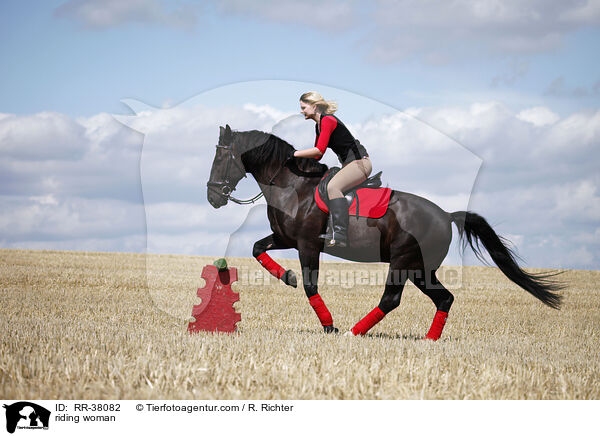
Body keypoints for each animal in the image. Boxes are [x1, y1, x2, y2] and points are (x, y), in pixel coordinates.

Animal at [206, 125, 564, 338]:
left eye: (221, 158)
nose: (212, 197)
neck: (293, 185)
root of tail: (447, 215)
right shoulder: (285, 239)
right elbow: (257, 249)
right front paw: (288, 277)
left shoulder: (307, 245)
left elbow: (310, 287)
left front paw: (329, 326)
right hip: (420, 268)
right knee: (444, 297)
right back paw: (428, 340)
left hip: (403, 261)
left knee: (392, 298)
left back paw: (354, 331)